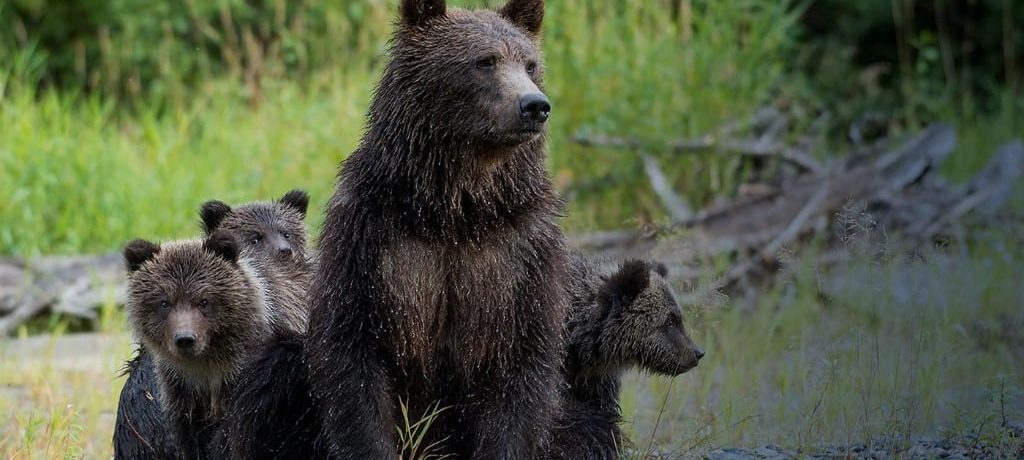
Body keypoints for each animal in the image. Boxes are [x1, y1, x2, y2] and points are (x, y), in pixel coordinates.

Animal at [305, 0, 569, 454]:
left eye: (531, 64)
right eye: (485, 61)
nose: (534, 105)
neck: (453, 209)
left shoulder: (522, 252)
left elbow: (523, 364)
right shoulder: (369, 239)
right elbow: (354, 360)